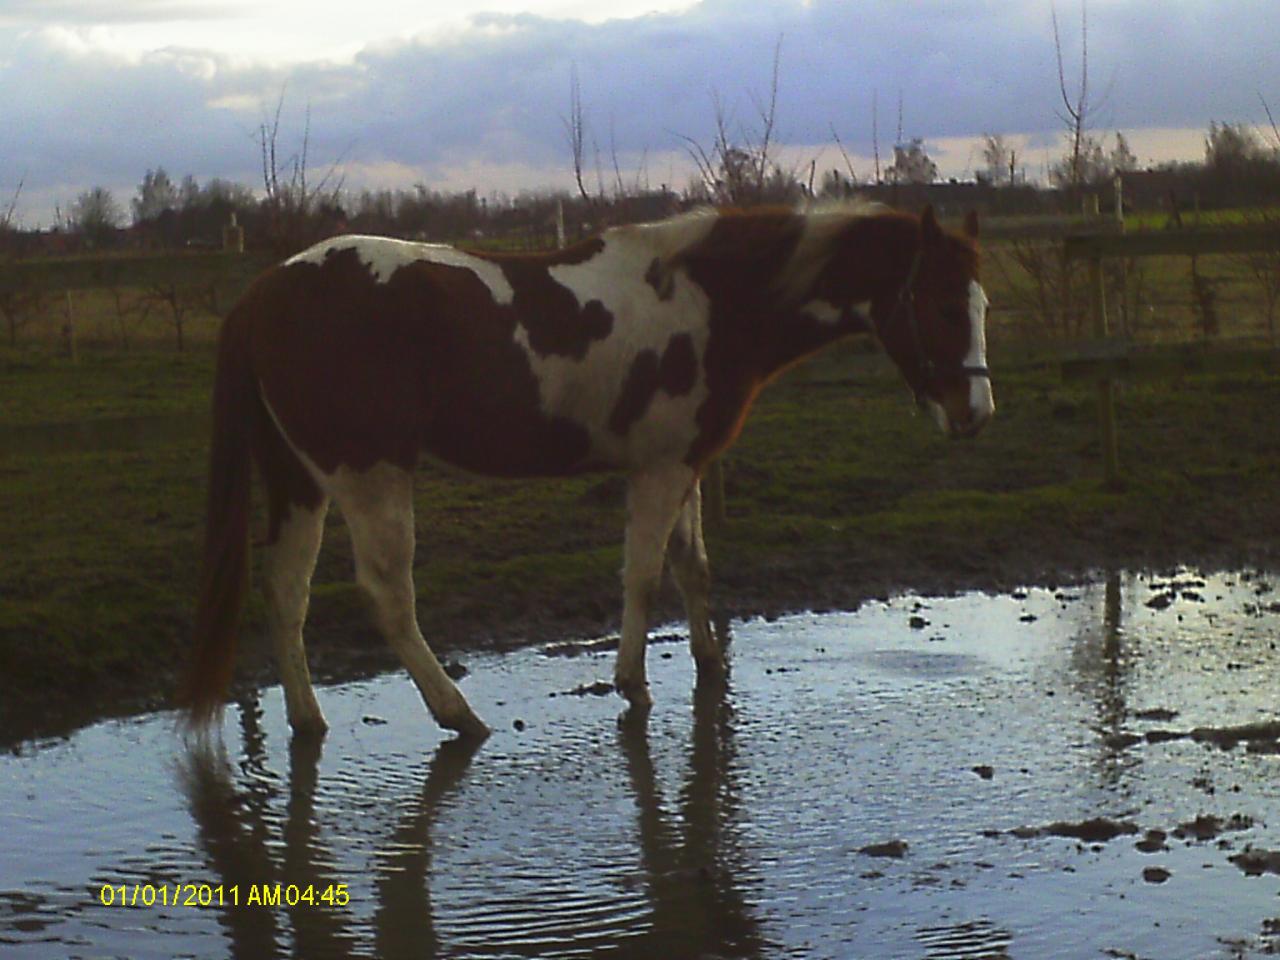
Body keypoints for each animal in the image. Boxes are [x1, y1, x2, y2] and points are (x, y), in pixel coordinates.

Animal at [180, 204, 993, 742]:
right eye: (942, 305)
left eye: (980, 302)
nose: (975, 413)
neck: (709, 299)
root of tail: (263, 294)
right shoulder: (659, 470)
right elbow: (643, 576)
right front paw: (632, 684)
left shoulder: (685, 463)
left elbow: (693, 567)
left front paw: (708, 664)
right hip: (369, 478)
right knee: (389, 598)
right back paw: (458, 716)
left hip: (300, 481)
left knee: (286, 592)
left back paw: (310, 721)